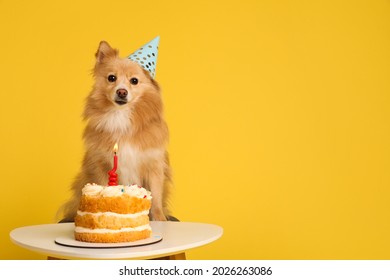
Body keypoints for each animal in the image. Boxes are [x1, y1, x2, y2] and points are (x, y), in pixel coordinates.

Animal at [59, 40, 171, 222]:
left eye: (134, 81)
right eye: (112, 78)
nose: (122, 91)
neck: (120, 115)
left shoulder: (154, 166)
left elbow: (156, 196)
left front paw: (160, 218)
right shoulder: (100, 164)